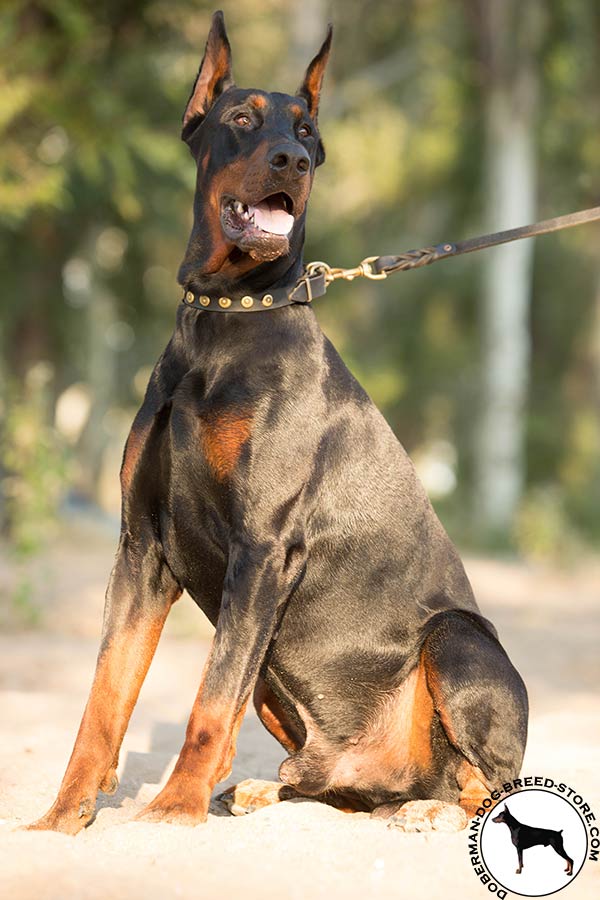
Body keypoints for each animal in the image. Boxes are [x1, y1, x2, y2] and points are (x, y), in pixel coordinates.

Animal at [28, 10, 524, 832]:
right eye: (240, 119)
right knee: (338, 779)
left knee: (492, 780)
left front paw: (173, 808)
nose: (292, 160)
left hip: (458, 639)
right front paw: (63, 817)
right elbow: (104, 697)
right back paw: (272, 788)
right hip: (291, 699)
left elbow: (208, 697)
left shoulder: (263, 551)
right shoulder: (140, 548)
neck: (226, 317)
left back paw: (436, 810)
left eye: (308, 130)